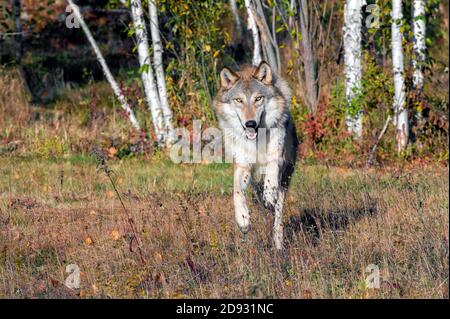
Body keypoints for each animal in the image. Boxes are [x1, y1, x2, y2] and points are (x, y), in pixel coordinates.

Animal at [212, 61, 298, 251]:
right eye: (239, 100)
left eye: (258, 99)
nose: (250, 123)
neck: (256, 141)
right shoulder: (242, 165)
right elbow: (236, 192)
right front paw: (243, 220)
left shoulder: (277, 157)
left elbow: (271, 171)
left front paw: (269, 195)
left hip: (285, 181)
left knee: (278, 216)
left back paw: (278, 244)